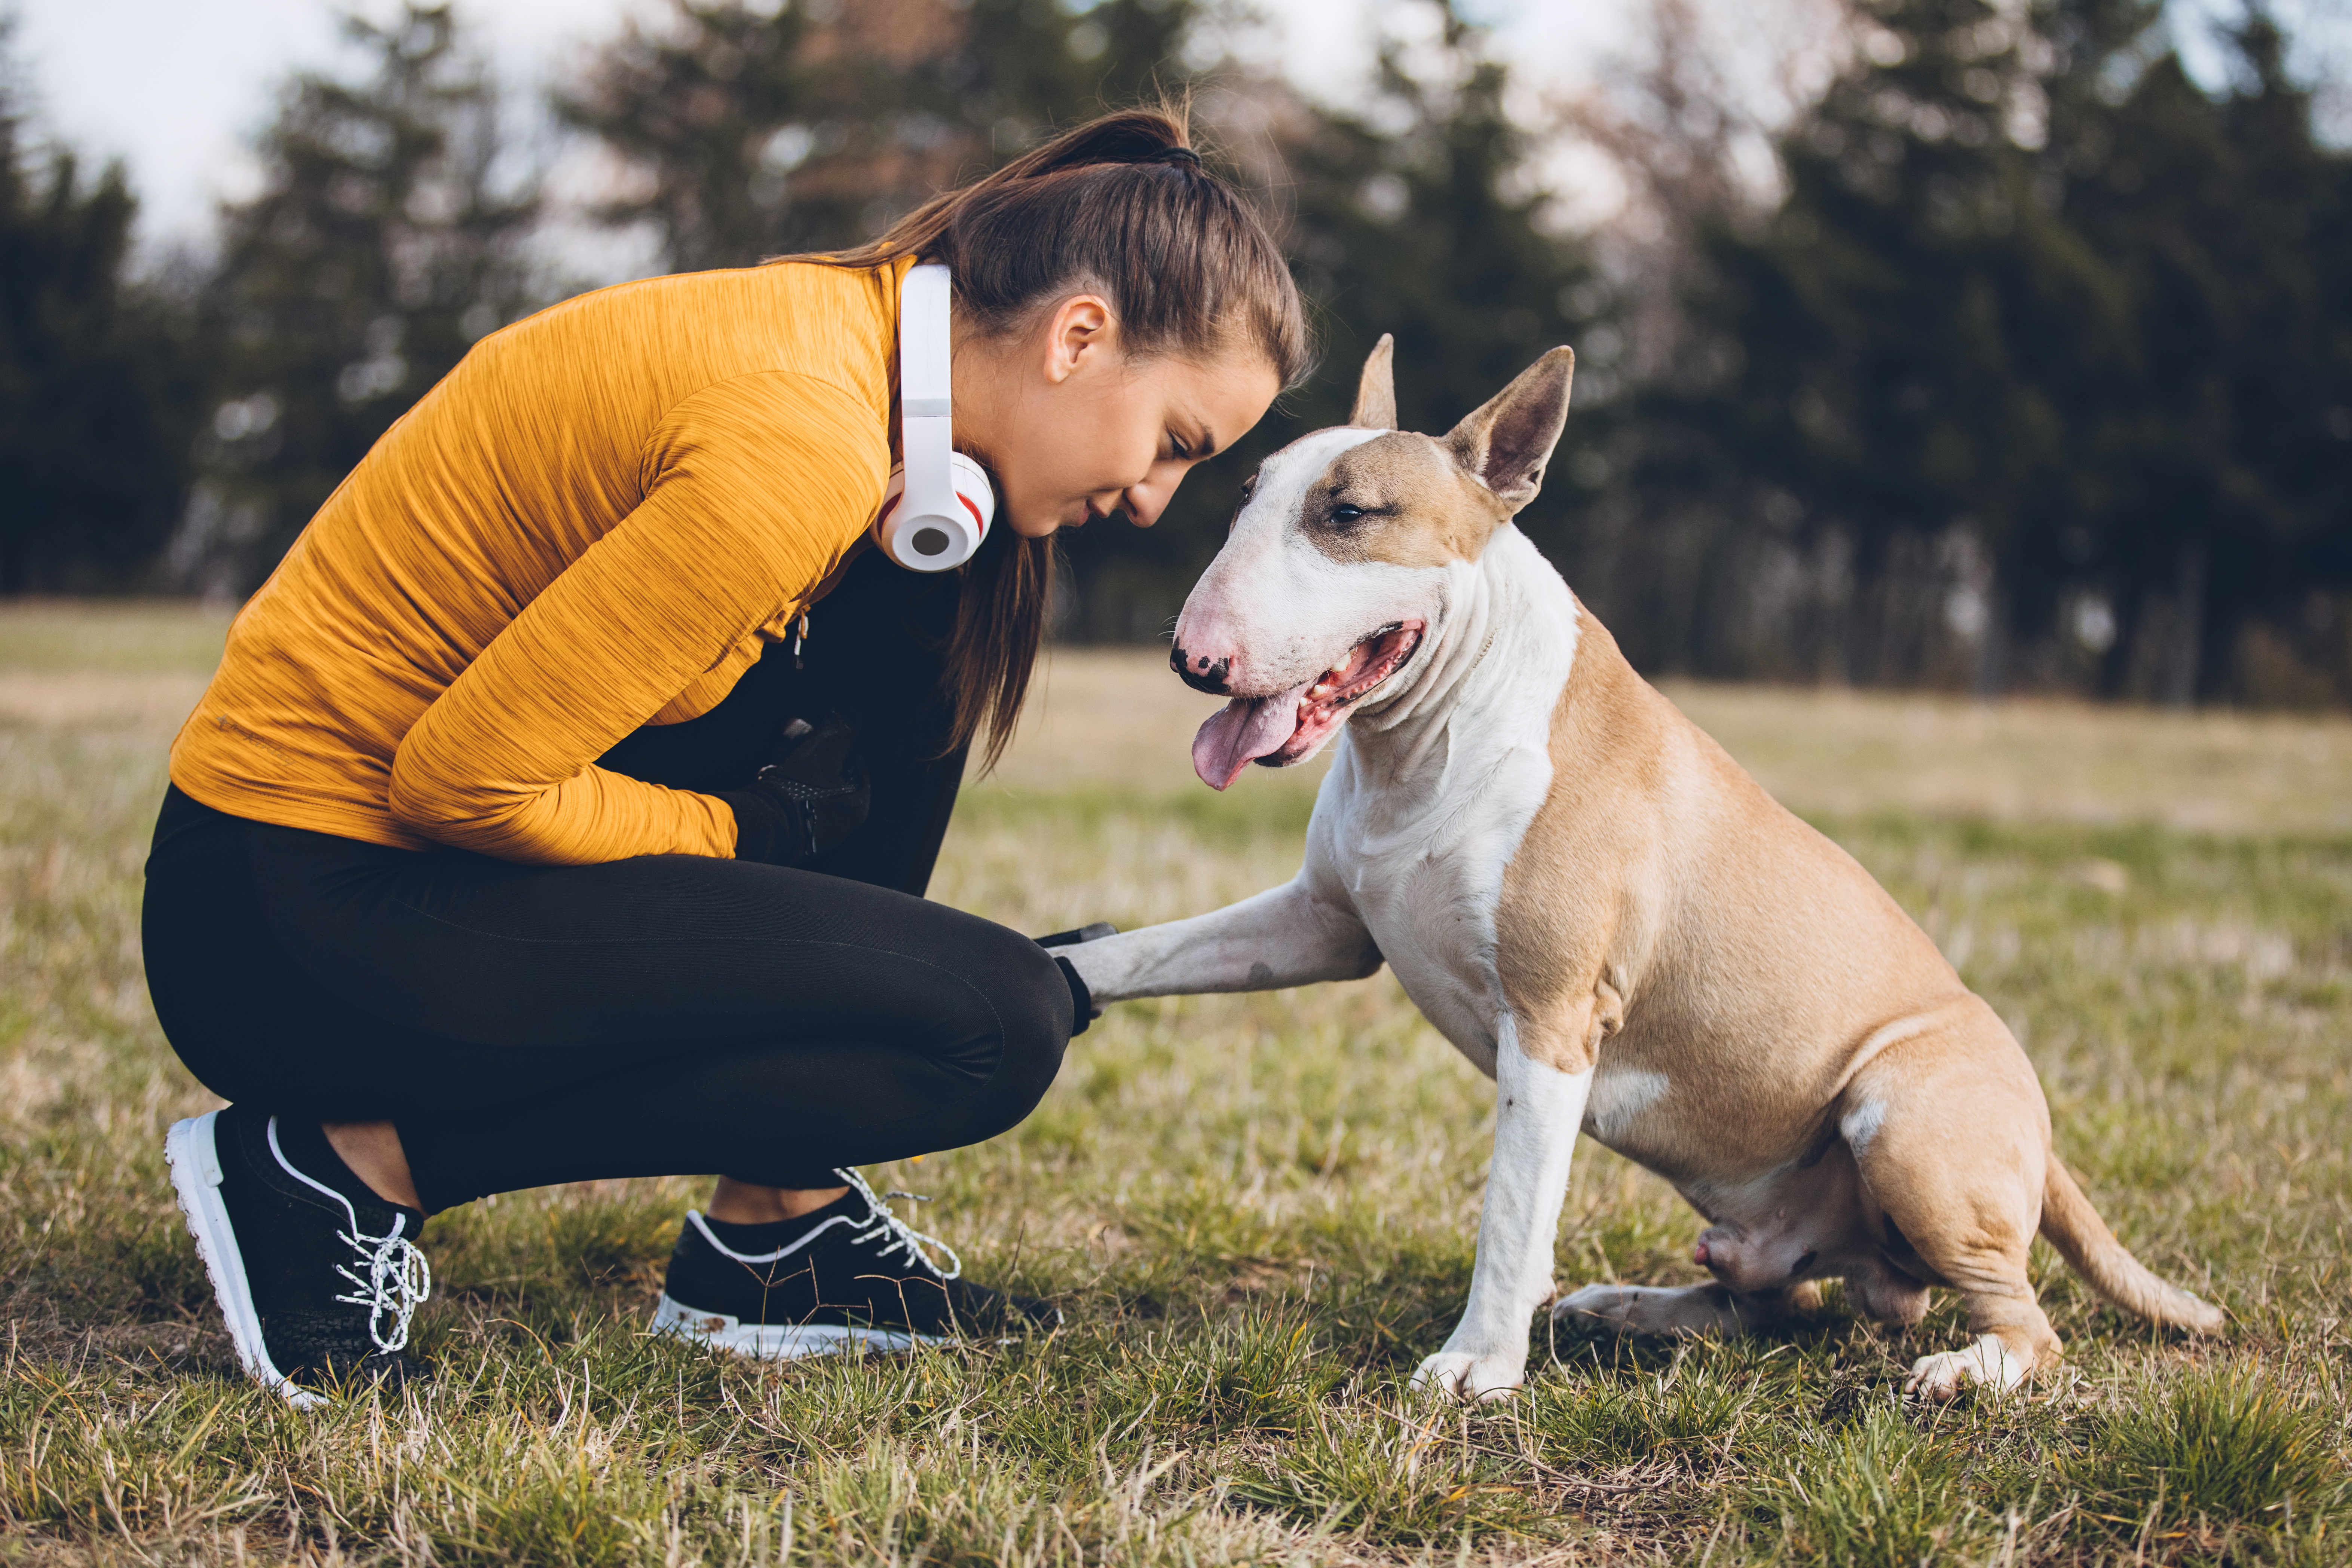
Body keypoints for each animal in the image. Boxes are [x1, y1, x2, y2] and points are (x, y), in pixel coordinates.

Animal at [1068, 341, 2220, 1401]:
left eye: (1350, 514)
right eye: (1244, 497)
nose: (1192, 659)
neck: (1432, 733)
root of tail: (2044, 1138)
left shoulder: (1551, 1019)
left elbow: (1511, 1210)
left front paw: (1478, 1367)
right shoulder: (1322, 923)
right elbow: (1148, 954)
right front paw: (1063, 975)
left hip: (1904, 1113)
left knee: (2020, 1321)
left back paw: (1963, 1370)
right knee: (1786, 1301)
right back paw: (1632, 1308)